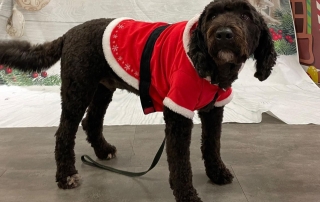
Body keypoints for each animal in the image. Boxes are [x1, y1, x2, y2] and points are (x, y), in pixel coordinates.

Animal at [0, 0, 276, 200]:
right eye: (212, 16)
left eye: (246, 17)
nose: (223, 34)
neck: (213, 68)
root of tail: (69, 33)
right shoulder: (178, 112)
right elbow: (180, 161)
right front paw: (186, 194)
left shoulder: (213, 110)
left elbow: (212, 144)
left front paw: (217, 173)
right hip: (77, 90)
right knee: (64, 133)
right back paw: (66, 176)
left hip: (102, 90)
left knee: (92, 121)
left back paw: (103, 151)